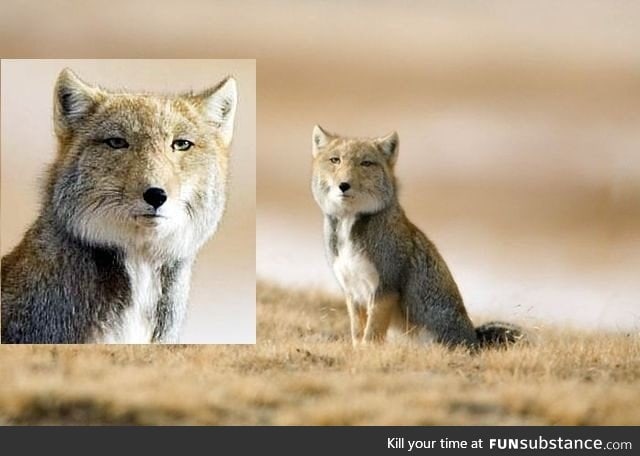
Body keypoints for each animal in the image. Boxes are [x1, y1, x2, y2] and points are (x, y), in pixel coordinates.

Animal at [312, 126, 524, 348]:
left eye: (366, 163)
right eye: (335, 160)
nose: (344, 185)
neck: (349, 226)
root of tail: (474, 339)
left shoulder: (384, 288)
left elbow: (371, 335)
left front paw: (366, 351)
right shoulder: (352, 292)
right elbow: (357, 333)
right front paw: (357, 350)